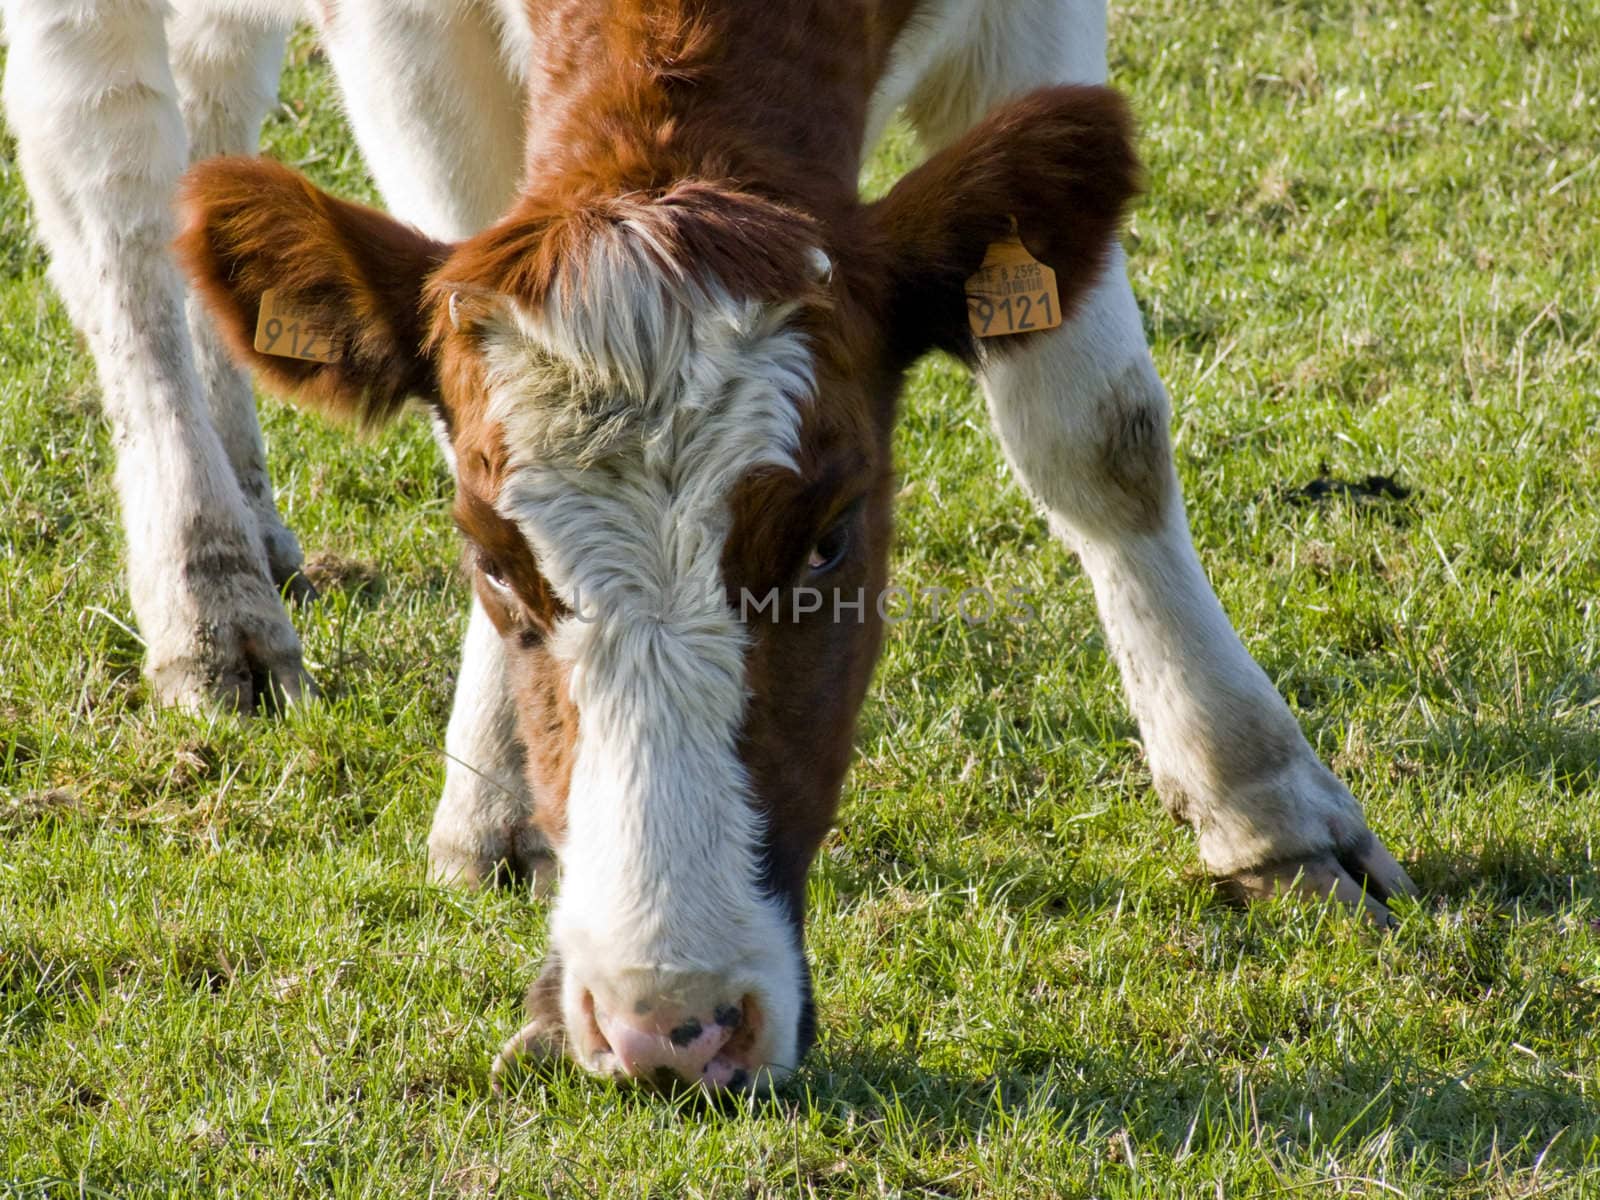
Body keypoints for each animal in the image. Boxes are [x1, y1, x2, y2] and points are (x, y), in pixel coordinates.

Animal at [6, 0, 1420, 1094]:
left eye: (830, 541)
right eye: (492, 558)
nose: (665, 1028)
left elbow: (1093, 425)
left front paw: (1261, 800)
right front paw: (498, 802)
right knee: (118, 203)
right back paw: (211, 598)